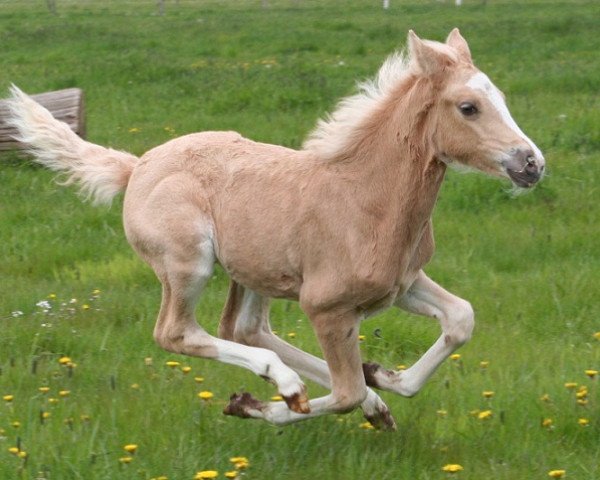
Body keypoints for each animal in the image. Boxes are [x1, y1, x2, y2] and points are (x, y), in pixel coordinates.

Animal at [7, 28, 544, 430]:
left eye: (500, 98)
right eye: (468, 107)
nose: (532, 164)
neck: (365, 199)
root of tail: (136, 165)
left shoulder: (401, 285)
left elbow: (460, 320)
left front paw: (384, 379)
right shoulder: (327, 307)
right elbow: (345, 393)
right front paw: (253, 405)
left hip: (253, 272)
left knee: (244, 328)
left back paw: (359, 395)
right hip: (189, 262)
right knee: (178, 333)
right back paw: (284, 382)